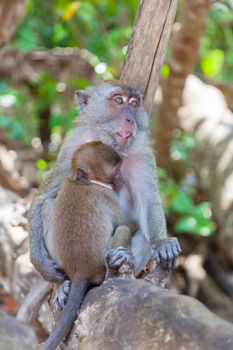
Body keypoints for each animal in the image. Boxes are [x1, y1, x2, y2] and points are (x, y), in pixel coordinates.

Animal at [28, 80, 181, 284]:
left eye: (134, 103)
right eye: (119, 100)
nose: (130, 120)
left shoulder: (142, 154)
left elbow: (148, 204)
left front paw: (162, 243)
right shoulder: (72, 146)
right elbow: (42, 197)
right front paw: (41, 264)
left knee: (141, 234)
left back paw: (117, 264)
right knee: (49, 205)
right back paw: (63, 285)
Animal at [42, 141, 133, 350]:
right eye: (116, 171)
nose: (122, 180)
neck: (79, 180)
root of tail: (80, 272)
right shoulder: (108, 195)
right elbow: (127, 224)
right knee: (123, 229)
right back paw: (111, 272)